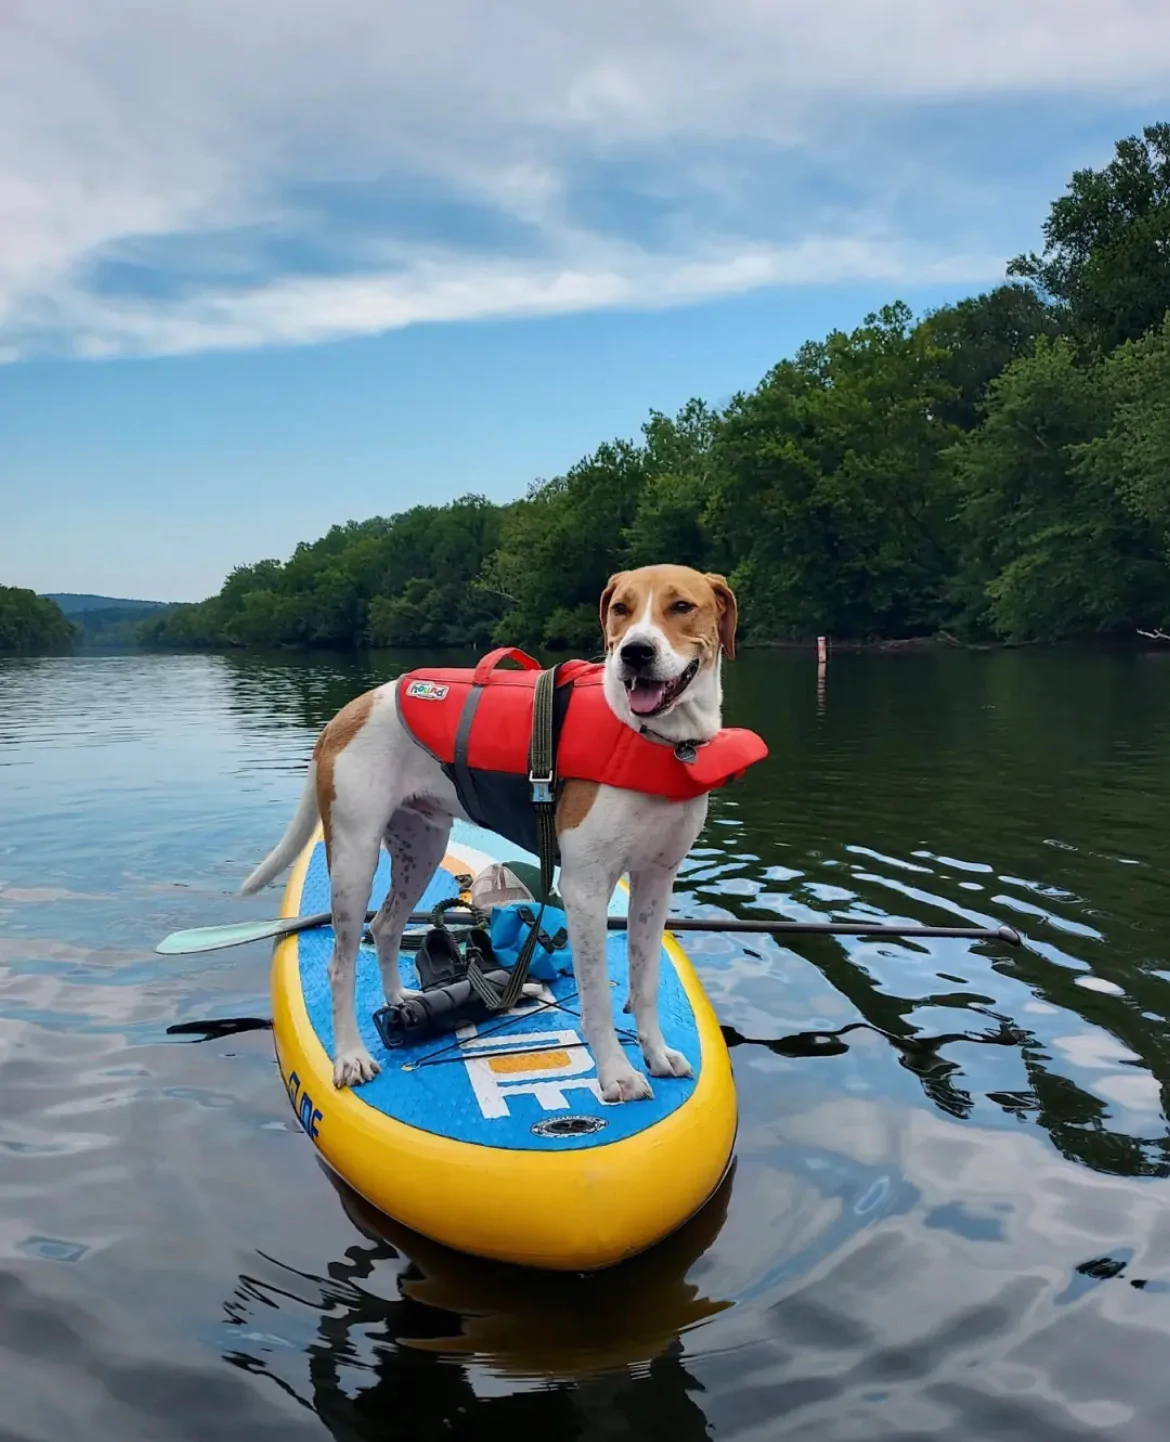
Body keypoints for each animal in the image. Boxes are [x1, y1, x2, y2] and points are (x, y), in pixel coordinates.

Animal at [242, 562, 744, 1101]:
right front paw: (616, 1073)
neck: (656, 741)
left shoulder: (656, 881)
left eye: (681, 606)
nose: (635, 652)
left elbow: (644, 982)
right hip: (355, 861)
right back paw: (350, 1056)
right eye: (620, 609)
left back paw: (401, 1001)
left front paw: (656, 1053)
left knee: (388, 927)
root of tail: (344, 714)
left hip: (422, 849)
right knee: (341, 963)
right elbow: (597, 998)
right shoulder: (586, 889)